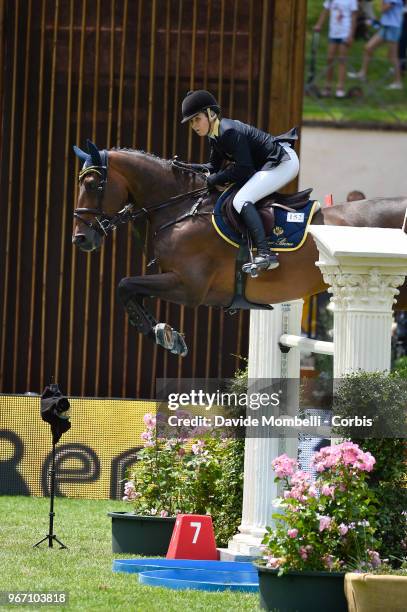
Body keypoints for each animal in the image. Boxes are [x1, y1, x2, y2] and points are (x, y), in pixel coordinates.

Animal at [72, 140, 407, 356]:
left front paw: (164, 335)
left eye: (92, 184)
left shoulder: (189, 287)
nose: (81, 239)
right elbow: (130, 290)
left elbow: (125, 284)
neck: (180, 208)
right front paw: (165, 333)